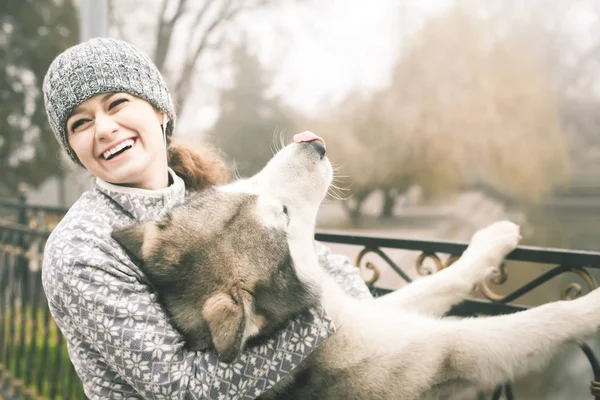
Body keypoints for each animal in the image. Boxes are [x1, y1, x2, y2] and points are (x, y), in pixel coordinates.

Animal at [111, 133, 600, 398]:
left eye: (240, 185)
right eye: (284, 215)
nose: (314, 143)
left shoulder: (375, 312)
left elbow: (442, 281)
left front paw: (490, 242)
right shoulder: (450, 352)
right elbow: (538, 322)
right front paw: (589, 308)